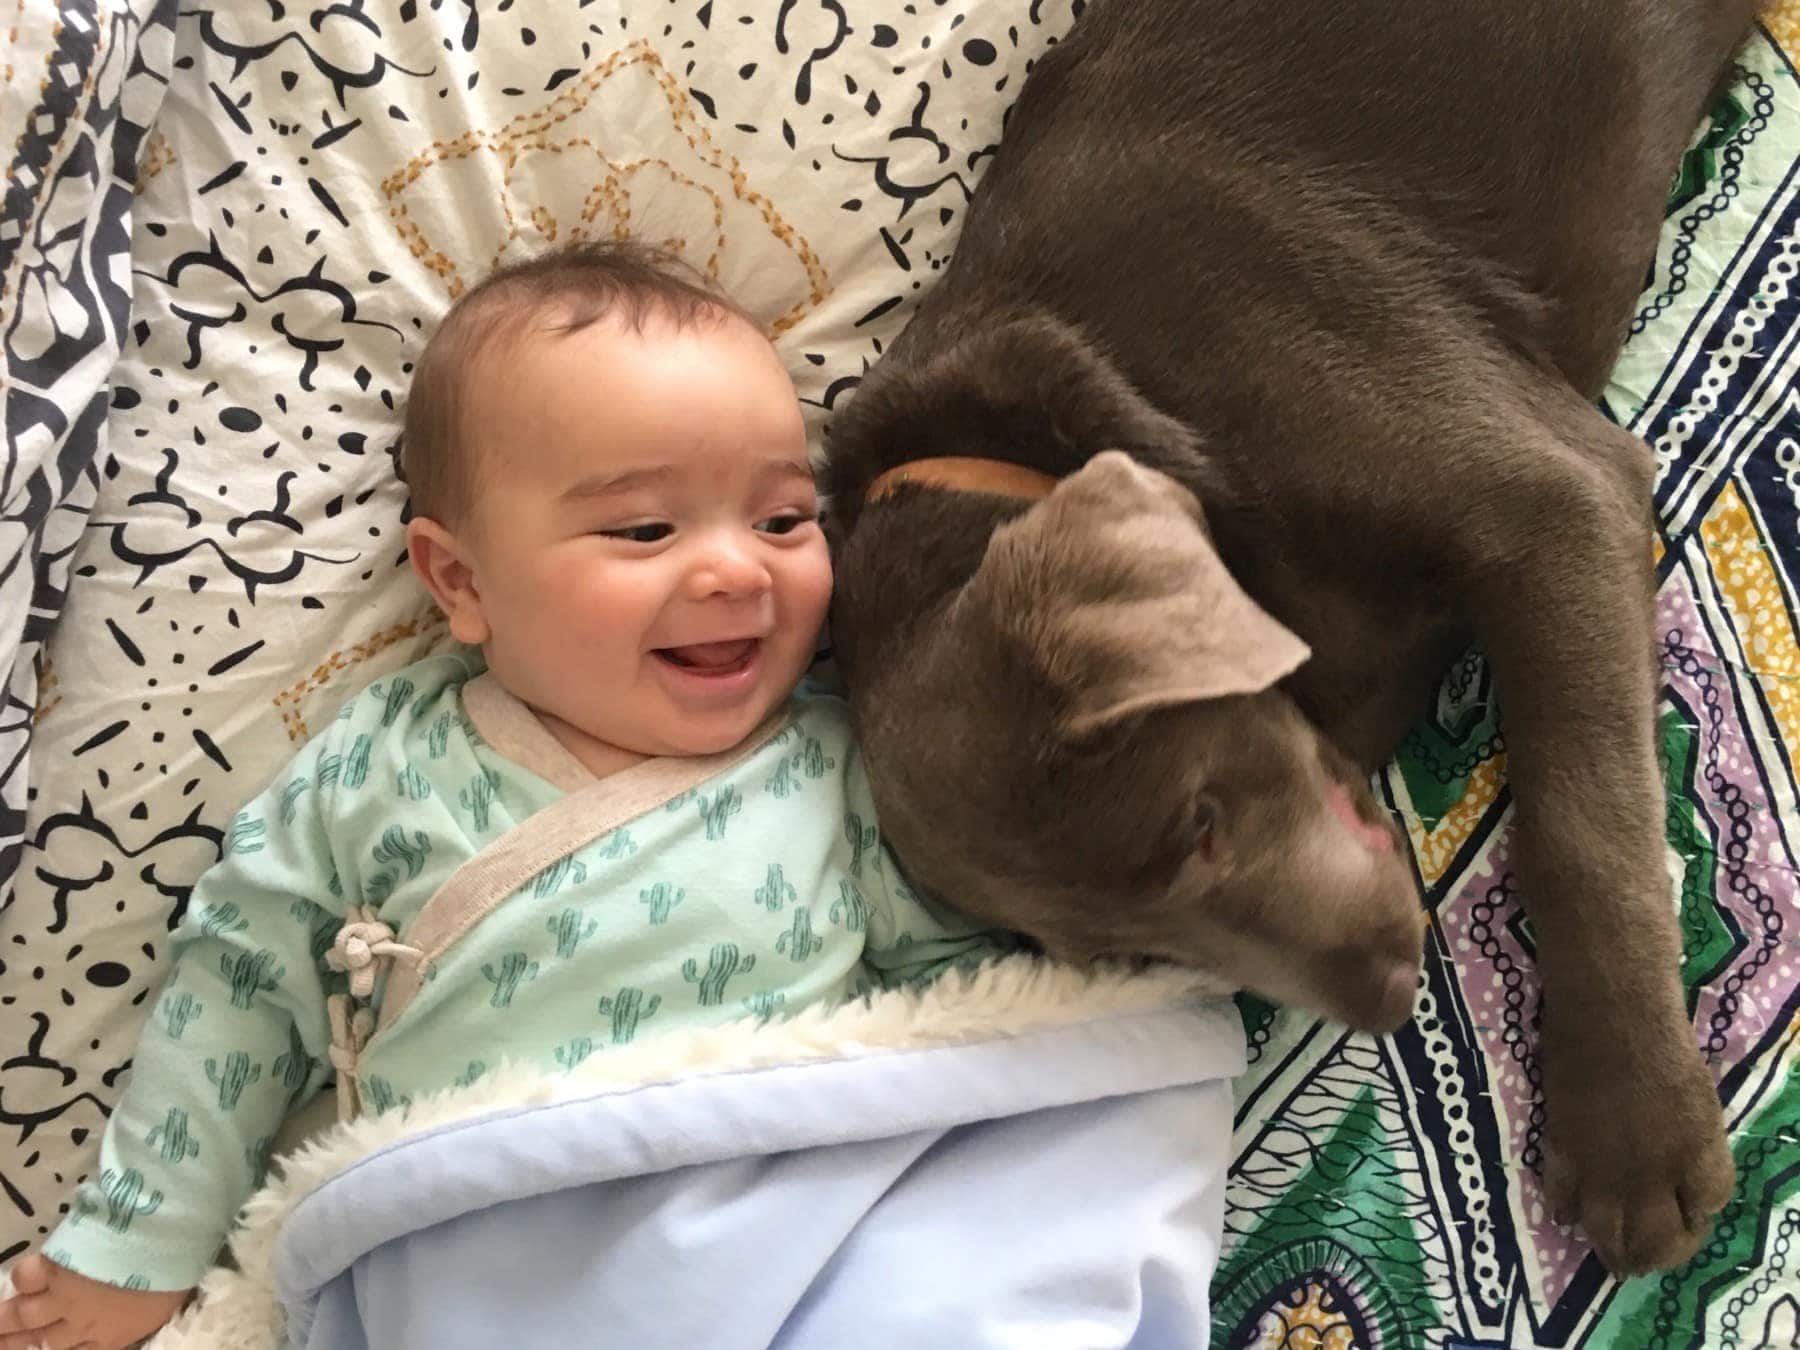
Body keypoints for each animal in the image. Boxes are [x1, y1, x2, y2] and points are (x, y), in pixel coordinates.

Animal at [824, 0, 1749, 1281]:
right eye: (1140, 956)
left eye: (1199, 823)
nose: (1389, 994)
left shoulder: (1550, 496)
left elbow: (1585, 820)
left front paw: (1634, 1134)